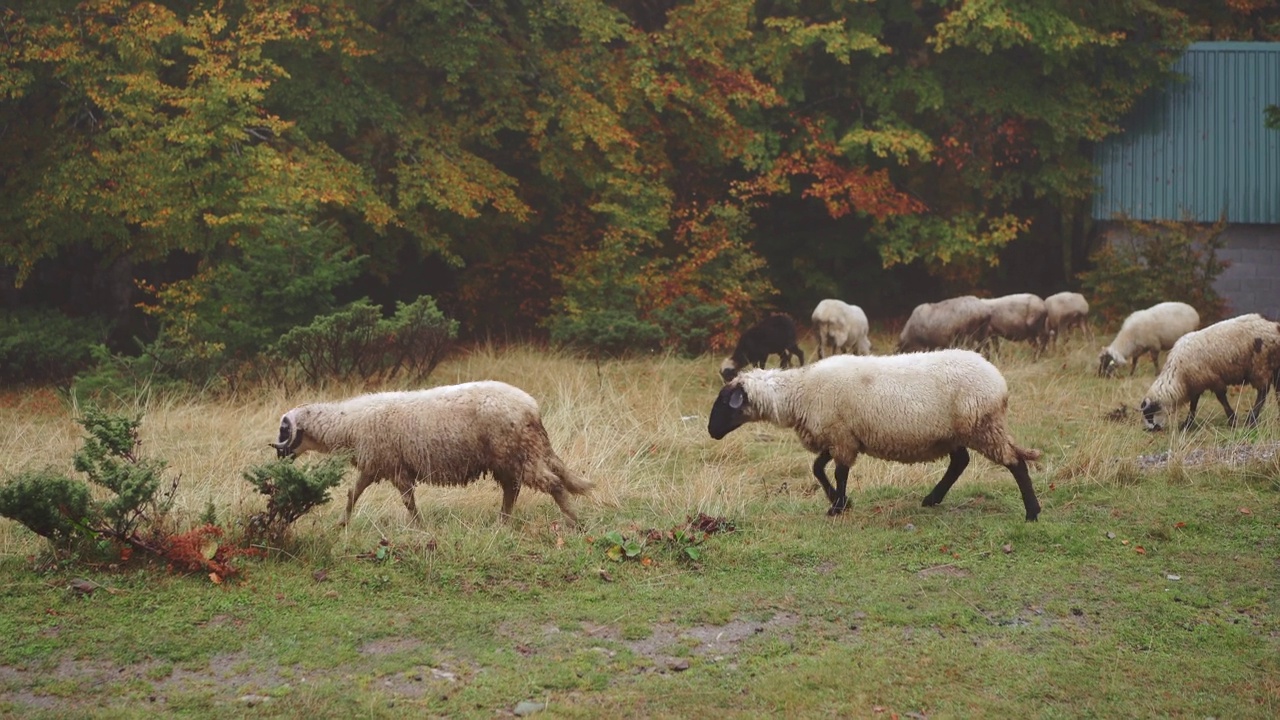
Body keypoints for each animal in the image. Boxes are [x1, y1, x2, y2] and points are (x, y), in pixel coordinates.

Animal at [272, 381, 591, 527]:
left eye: (283, 429)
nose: (280, 458)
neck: (348, 424)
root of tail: (532, 408)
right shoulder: (375, 466)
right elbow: (353, 493)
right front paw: (342, 523)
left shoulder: (395, 468)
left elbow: (408, 502)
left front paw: (418, 527)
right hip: (509, 459)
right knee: (513, 490)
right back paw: (502, 522)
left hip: (519, 455)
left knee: (553, 483)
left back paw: (574, 521)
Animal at [706, 348, 1044, 515]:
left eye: (724, 402)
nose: (710, 431)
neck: (799, 392)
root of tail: (999, 382)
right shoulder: (837, 436)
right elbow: (817, 468)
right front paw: (838, 500)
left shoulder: (841, 437)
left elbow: (839, 473)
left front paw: (837, 506)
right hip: (954, 432)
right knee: (960, 463)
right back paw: (932, 499)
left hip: (983, 426)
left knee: (1015, 462)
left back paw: (1032, 511)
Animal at [1141, 312, 1280, 427]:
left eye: (1149, 415)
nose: (1150, 429)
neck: (1178, 375)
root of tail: (1274, 327)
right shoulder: (1196, 383)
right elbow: (1193, 404)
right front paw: (1187, 424)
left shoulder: (1213, 379)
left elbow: (1221, 399)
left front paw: (1232, 420)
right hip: (1274, 366)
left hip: (1260, 366)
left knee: (1262, 392)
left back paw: (1251, 420)